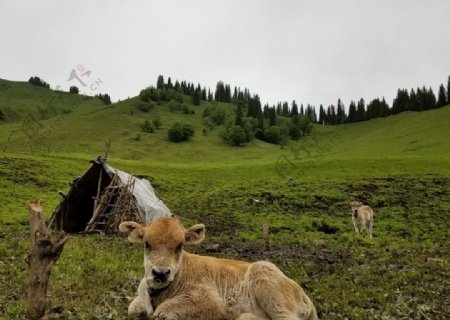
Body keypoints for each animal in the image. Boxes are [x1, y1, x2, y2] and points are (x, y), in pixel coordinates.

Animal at [118, 216, 316, 318]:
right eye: (147, 243)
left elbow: (162, 312)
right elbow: (132, 309)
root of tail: (305, 296)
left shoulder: (210, 301)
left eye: (180, 246)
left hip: (270, 287)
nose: (161, 272)